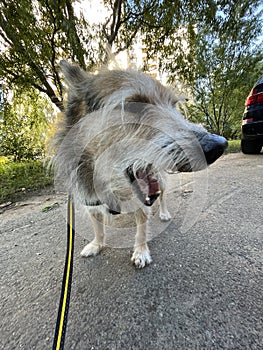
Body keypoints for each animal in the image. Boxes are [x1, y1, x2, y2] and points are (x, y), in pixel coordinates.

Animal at [52, 60, 228, 268]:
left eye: (174, 106)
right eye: (133, 106)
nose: (218, 145)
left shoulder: (142, 200)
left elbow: (142, 228)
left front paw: (141, 251)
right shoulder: (90, 201)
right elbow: (98, 227)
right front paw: (96, 244)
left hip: (160, 181)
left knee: (162, 196)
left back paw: (164, 213)